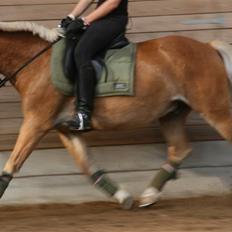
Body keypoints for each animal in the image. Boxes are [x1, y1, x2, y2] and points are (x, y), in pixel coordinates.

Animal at [0, 21, 232, 208]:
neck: (36, 64)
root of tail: (208, 47)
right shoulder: (65, 128)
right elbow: (87, 165)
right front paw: (123, 197)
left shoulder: (36, 122)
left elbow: (12, 164)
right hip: (172, 113)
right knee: (180, 149)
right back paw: (149, 196)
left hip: (216, 109)